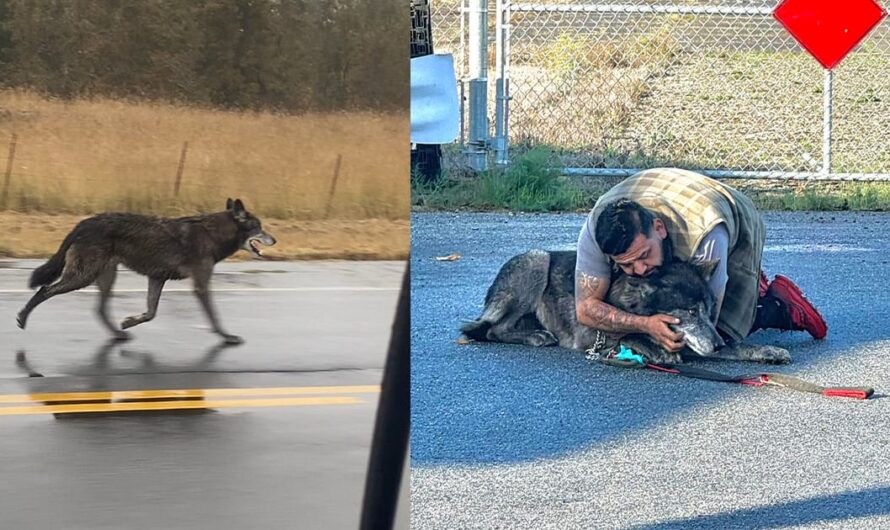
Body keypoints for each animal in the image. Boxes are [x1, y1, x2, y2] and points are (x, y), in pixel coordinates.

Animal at [15, 198, 274, 342]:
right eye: (259, 227)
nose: (275, 239)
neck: (212, 234)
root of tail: (84, 223)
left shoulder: (157, 278)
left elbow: (151, 313)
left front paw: (129, 321)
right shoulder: (200, 285)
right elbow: (214, 317)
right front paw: (227, 337)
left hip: (103, 277)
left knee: (99, 309)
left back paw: (118, 335)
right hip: (82, 277)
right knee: (44, 290)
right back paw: (22, 318)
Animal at [462, 249, 788, 364]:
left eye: (708, 311)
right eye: (690, 312)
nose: (717, 344)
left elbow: (737, 347)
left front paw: (767, 352)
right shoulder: (592, 336)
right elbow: (630, 335)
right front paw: (652, 347)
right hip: (537, 260)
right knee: (491, 330)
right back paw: (534, 336)